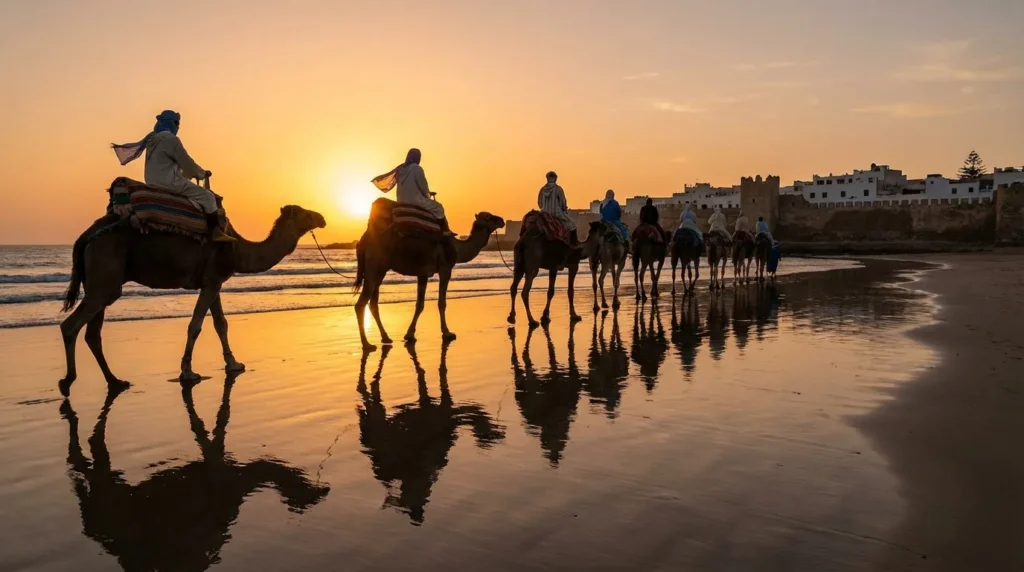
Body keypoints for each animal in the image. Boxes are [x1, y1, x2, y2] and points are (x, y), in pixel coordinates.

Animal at [59, 205, 326, 394]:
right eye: (304, 212)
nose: (322, 218)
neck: (237, 249)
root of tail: (85, 237)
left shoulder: (213, 282)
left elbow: (220, 324)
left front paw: (233, 364)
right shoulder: (212, 280)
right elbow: (196, 325)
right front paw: (187, 372)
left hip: (102, 282)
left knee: (93, 333)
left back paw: (115, 381)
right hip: (105, 274)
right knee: (70, 326)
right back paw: (68, 381)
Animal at [353, 201, 505, 350]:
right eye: (488, 217)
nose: (502, 220)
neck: (457, 247)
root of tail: (364, 240)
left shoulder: (423, 273)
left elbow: (419, 304)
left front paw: (409, 335)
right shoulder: (445, 269)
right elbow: (441, 302)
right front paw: (447, 333)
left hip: (380, 271)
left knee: (373, 303)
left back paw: (385, 338)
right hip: (374, 268)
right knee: (361, 304)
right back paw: (367, 344)